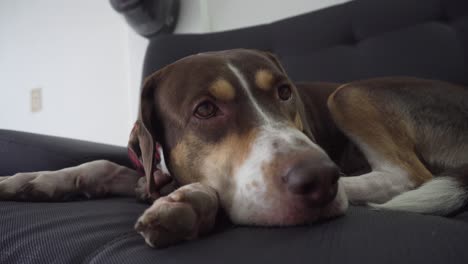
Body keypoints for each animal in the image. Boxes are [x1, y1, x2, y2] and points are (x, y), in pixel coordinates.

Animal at [0, 49, 468, 248]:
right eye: (205, 109)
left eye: (284, 92)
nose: (320, 179)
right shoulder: (150, 173)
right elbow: (106, 166)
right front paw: (33, 180)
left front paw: (188, 203)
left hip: (349, 94)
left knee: (406, 176)